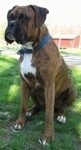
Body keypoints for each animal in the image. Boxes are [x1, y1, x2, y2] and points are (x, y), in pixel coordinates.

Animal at [4, 4, 76, 145]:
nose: (11, 24)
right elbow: (22, 106)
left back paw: (61, 116)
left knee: (62, 106)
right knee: (37, 105)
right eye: (9, 17)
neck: (30, 49)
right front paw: (20, 122)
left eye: (24, 17)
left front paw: (48, 136)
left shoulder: (49, 86)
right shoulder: (24, 83)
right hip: (33, 90)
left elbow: (48, 116)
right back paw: (31, 111)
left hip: (72, 89)